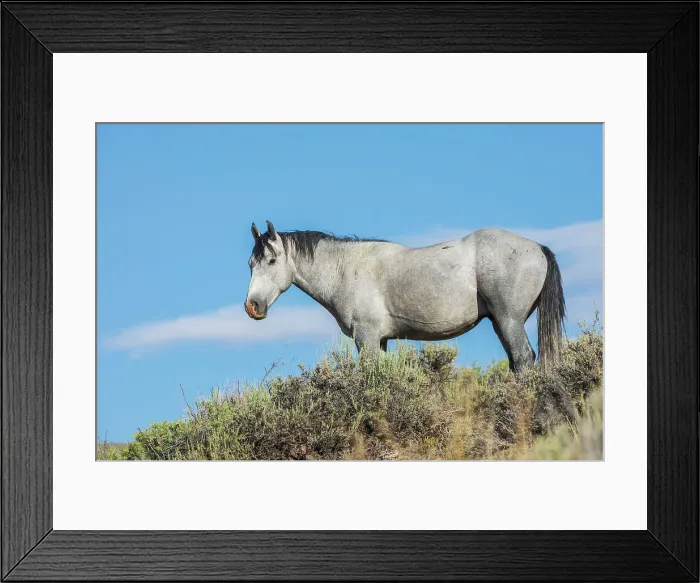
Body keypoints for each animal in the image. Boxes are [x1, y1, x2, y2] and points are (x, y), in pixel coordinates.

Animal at [244, 220, 566, 372]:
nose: (252, 306)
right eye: (250, 264)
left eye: (271, 261)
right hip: (501, 323)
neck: (345, 269)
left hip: (509, 320)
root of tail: (538, 248)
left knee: (523, 358)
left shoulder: (367, 337)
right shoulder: (380, 340)